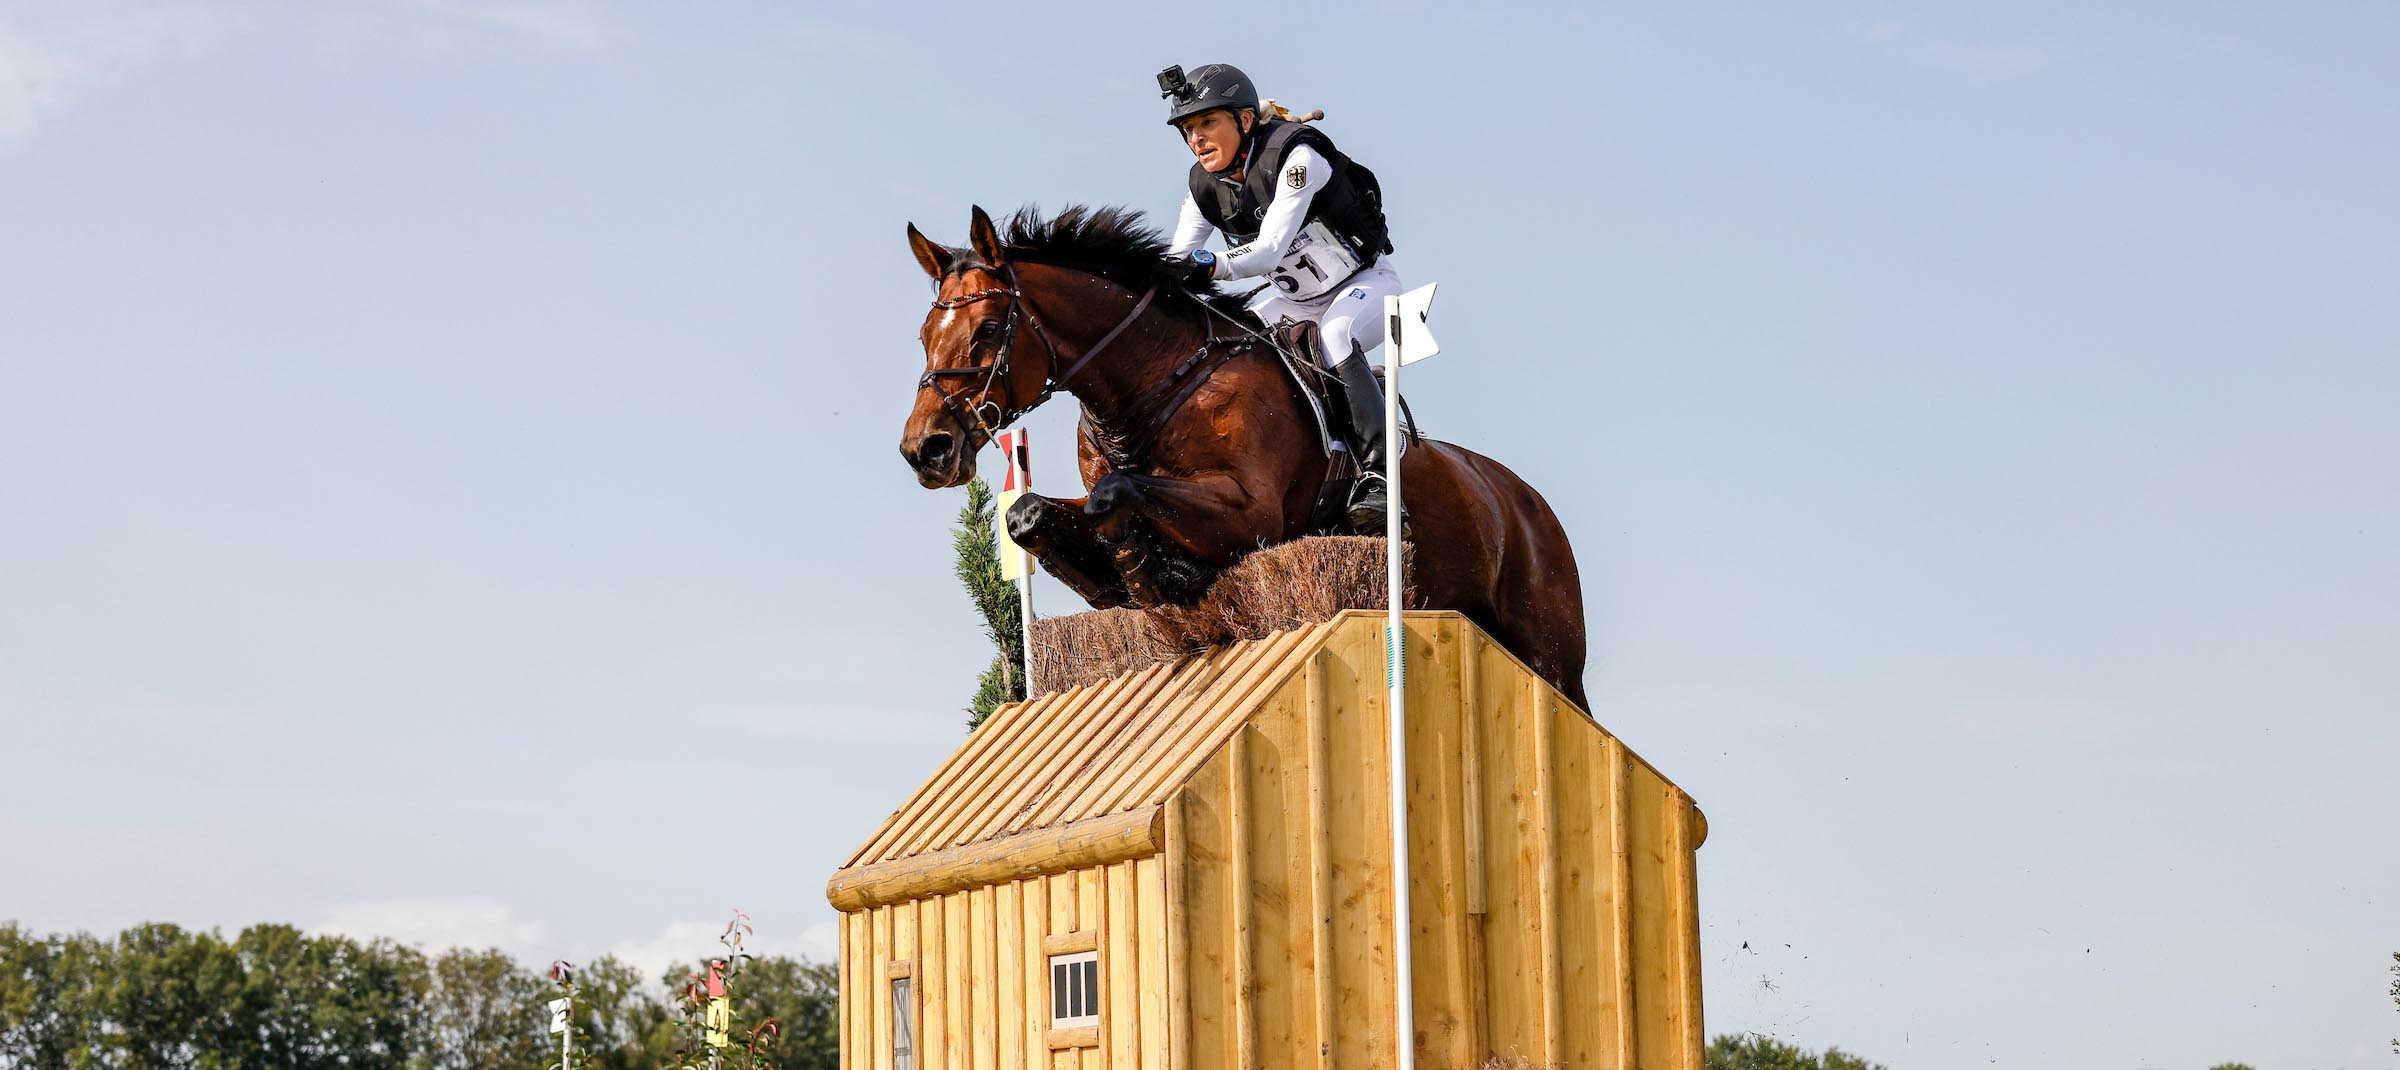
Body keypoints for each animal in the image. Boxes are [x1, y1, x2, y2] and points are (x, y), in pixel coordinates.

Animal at [902, 206, 1593, 714]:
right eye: (924, 335)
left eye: (989, 329)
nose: (925, 449)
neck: (1157, 377)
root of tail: (1524, 500)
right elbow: (1031, 513)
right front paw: (1118, 581)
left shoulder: (1248, 509)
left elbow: (1116, 495)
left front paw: (1156, 571)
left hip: (1552, 652)